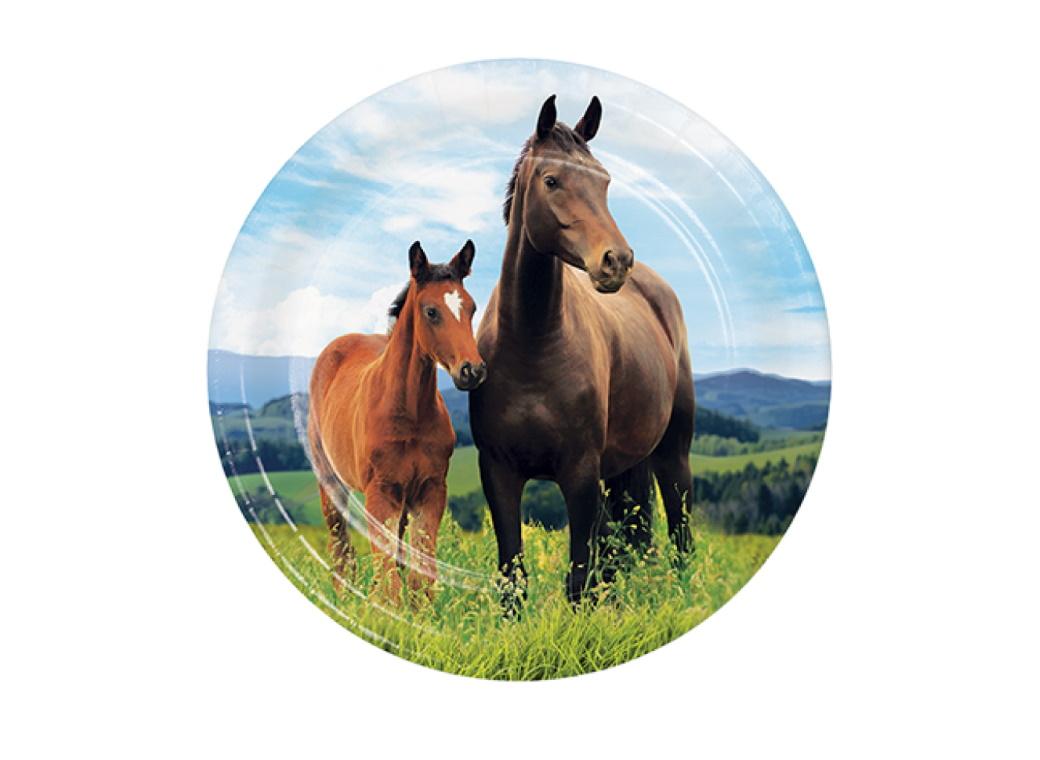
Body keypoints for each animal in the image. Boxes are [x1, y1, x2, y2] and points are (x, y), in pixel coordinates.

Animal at [307, 240, 486, 603]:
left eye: (472, 308)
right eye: (431, 311)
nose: (471, 370)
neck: (409, 413)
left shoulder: (430, 489)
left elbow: (421, 574)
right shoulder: (381, 492)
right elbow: (388, 575)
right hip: (331, 482)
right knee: (341, 548)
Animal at [469, 95, 695, 610]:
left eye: (604, 180)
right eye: (552, 180)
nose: (616, 261)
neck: (533, 345)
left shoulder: (580, 473)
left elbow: (579, 582)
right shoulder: (498, 472)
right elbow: (514, 582)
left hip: (673, 454)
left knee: (680, 534)